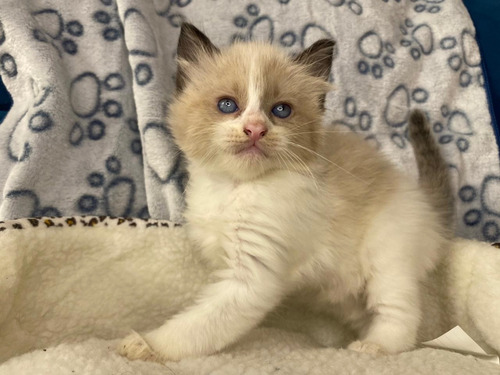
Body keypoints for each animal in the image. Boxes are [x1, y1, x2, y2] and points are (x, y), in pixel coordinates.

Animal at [119, 22, 456, 362]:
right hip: (343, 292)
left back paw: (373, 346)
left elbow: (199, 325)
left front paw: (147, 344)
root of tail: (425, 201)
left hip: (388, 256)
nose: (255, 129)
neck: (235, 188)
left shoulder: (250, 278)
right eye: (227, 105)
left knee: (399, 314)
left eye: (281, 110)